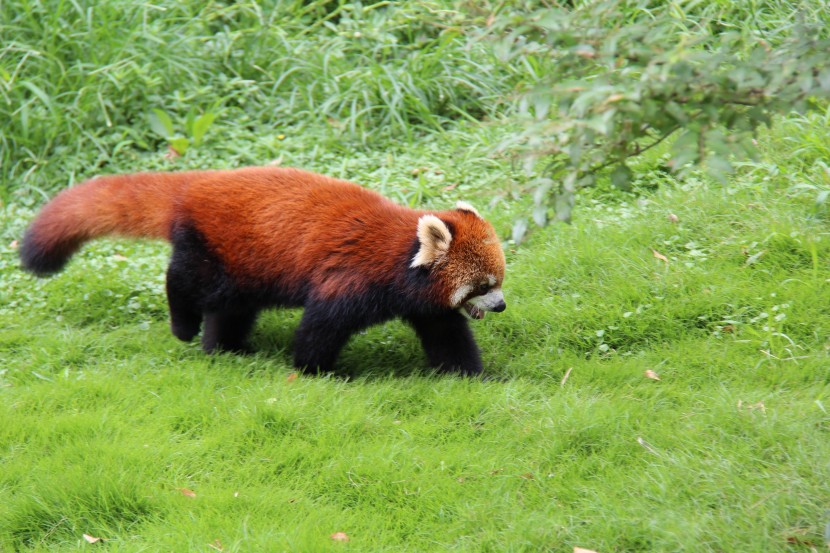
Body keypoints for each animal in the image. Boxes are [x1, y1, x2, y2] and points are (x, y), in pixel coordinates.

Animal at [21, 167, 508, 376]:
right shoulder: (349, 278)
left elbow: (446, 334)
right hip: (211, 249)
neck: (401, 258)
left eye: (498, 283)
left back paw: (226, 346)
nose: (501, 305)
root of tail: (192, 185)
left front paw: (469, 375)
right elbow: (321, 326)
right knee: (184, 281)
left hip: (243, 265)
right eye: (482, 286)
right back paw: (183, 325)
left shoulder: (425, 304)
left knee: (231, 308)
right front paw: (316, 371)